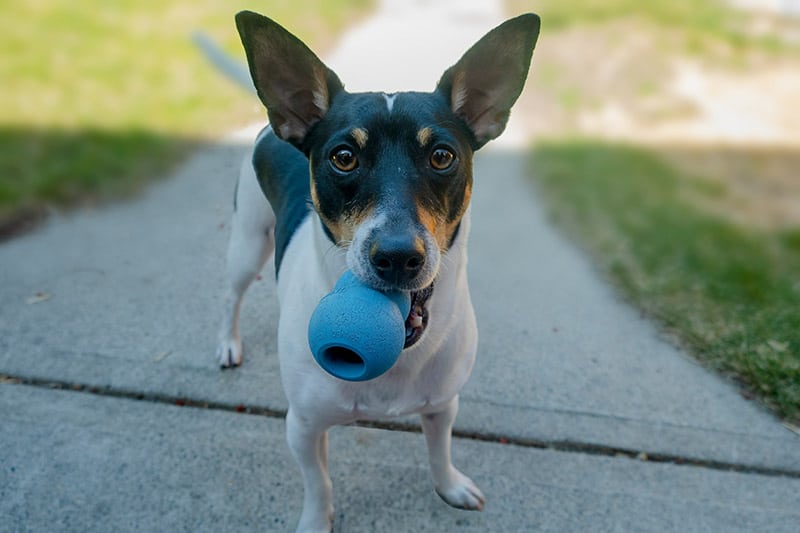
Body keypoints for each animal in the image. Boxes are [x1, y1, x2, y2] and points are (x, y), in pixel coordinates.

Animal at [216, 10, 540, 528]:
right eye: (344, 157)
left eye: (442, 156)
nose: (397, 257)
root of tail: (272, 127)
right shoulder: (302, 427)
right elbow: (319, 484)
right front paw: (316, 522)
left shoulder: (443, 405)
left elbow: (439, 450)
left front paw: (449, 486)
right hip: (247, 241)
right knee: (232, 294)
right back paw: (228, 342)